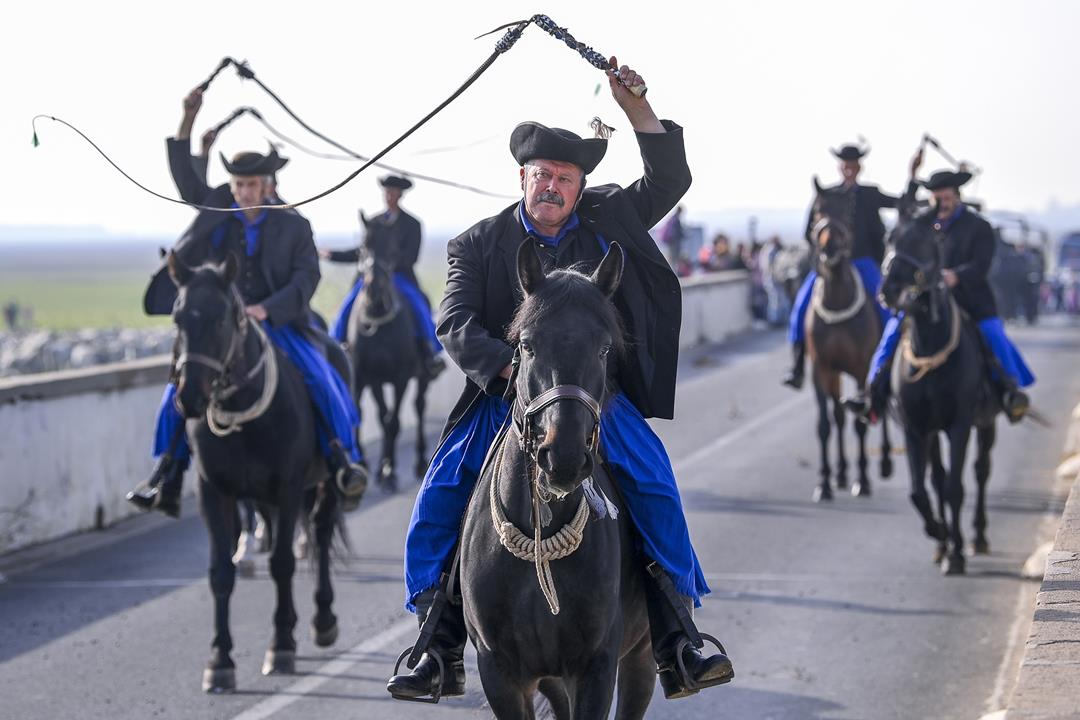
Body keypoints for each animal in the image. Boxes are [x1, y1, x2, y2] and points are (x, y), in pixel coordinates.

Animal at [168, 254, 341, 690]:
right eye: (177, 317)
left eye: (221, 319)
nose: (189, 397)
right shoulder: (215, 492)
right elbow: (220, 573)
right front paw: (219, 660)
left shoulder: (288, 487)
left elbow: (282, 564)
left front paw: (280, 646)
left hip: (325, 483)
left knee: (320, 533)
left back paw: (321, 619)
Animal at [347, 212, 427, 490]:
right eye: (362, 248)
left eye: (392, 250)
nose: (373, 289)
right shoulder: (372, 378)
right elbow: (381, 417)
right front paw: (382, 468)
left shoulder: (400, 377)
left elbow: (392, 422)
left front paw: (390, 471)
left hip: (421, 378)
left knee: (419, 406)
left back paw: (419, 461)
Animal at [457, 243, 652, 720]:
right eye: (526, 345)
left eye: (604, 349)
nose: (561, 456)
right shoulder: (501, 673)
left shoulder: (596, 668)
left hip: (640, 658)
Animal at [803, 180, 894, 500]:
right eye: (818, 210)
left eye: (848, 211)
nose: (829, 246)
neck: (837, 299)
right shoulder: (821, 369)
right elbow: (825, 424)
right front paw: (824, 482)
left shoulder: (861, 369)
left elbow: (862, 423)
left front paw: (863, 480)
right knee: (840, 414)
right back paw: (841, 473)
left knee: (875, 408)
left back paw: (884, 463)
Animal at [876, 209, 993, 574]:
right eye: (889, 238)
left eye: (922, 240)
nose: (889, 289)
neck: (929, 347)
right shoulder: (916, 428)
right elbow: (920, 490)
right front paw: (939, 534)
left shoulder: (959, 425)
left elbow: (956, 487)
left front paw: (956, 554)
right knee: (938, 479)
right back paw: (943, 544)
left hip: (985, 424)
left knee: (981, 471)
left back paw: (976, 537)